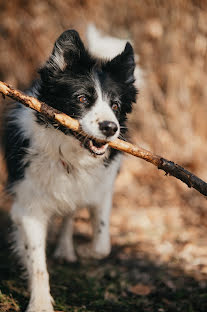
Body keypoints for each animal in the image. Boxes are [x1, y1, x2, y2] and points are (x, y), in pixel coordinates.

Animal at [2, 28, 137, 310]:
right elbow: (37, 263)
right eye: (82, 99)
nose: (111, 128)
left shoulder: (102, 188)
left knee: (70, 214)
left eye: (116, 106)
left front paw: (86, 251)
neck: (71, 154)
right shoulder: (28, 205)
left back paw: (66, 249)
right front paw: (40, 303)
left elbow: (102, 245)